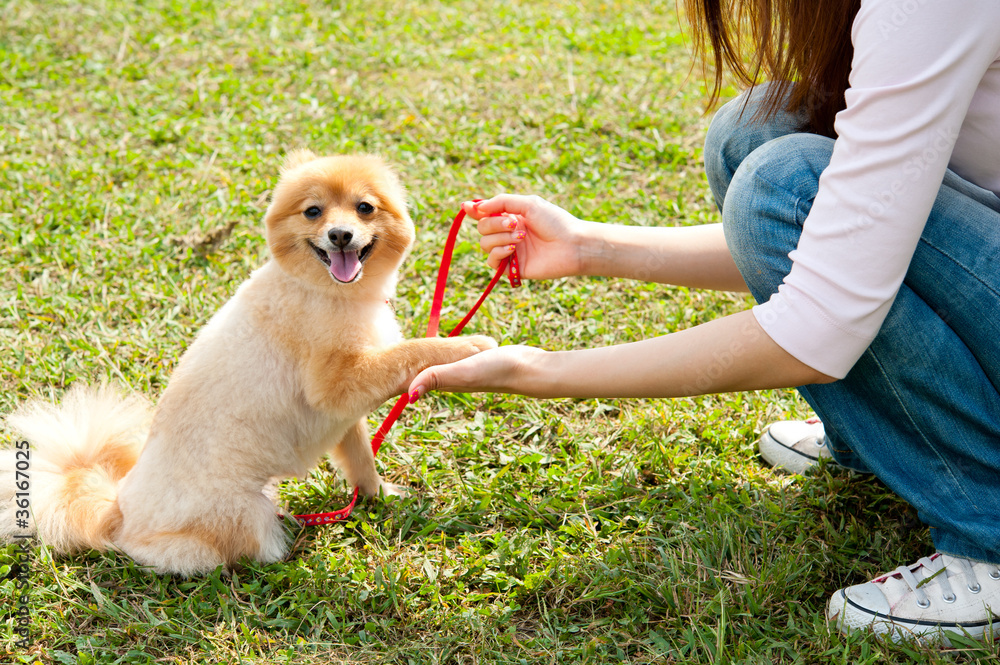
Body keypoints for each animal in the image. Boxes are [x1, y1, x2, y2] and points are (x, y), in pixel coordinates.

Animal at [0, 153, 496, 572]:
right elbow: (410, 351)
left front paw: (379, 497)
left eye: (364, 208)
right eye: (313, 212)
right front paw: (465, 346)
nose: (340, 234)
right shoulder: (335, 384)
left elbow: (360, 460)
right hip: (244, 514)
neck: (325, 291)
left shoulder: (343, 414)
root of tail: (117, 510)